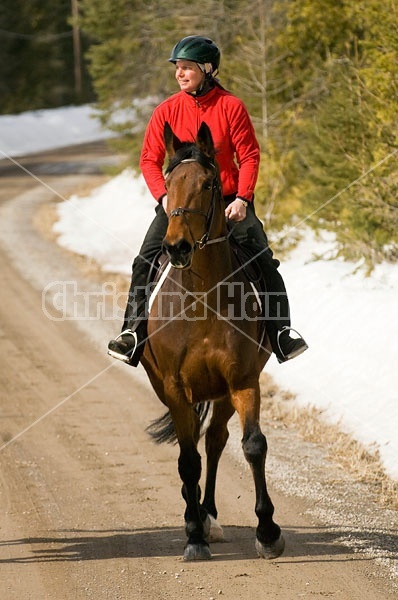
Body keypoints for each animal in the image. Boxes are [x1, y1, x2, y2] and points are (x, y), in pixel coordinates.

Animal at [141, 122, 284, 564]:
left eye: (208, 184)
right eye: (168, 182)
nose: (177, 247)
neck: (203, 297)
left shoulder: (242, 381)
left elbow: (253, 445)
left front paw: (268, 532)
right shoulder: (174, 388)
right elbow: (188, 461)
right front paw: (192, 537)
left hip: (221, 394)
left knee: (217, 441)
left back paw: (209, 515)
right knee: (197, 448)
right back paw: (198, 520)